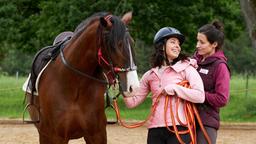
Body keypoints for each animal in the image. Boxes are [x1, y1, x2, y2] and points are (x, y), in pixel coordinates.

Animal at [24, 11, 140, 143]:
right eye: (116, 45)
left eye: (132, 43)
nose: (134, 87)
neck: (75, 85)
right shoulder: (56, 137)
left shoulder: (97, 135)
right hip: (44, 134)